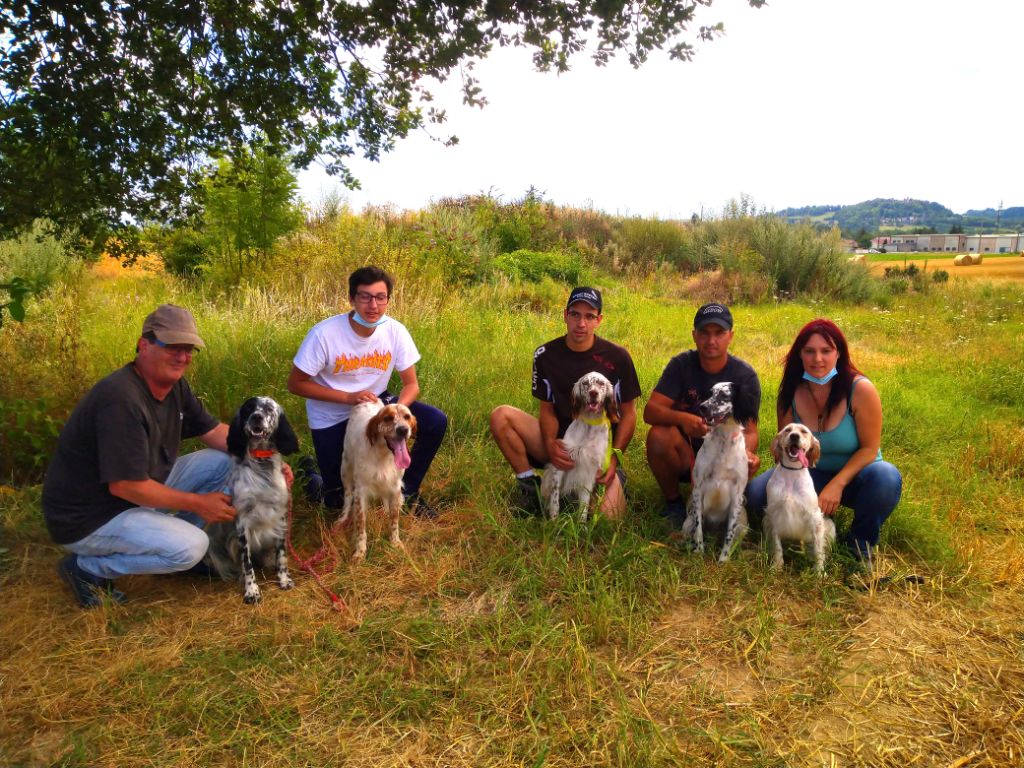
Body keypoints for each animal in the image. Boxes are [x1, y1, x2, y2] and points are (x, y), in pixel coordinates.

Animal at [204, 397, 299, 606]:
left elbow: (282, 556)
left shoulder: (279, 518)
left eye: (269, 408)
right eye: (249, 408)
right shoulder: (242, 524)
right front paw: (252, 591)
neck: (262, 465)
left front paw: (284, 580)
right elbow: (247, 565)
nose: (257, 417)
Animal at [337, 399, 413, 561]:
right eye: (387, 418)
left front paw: (395, 542)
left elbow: (394, 519)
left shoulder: (394, 487)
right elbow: (360, 526)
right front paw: (360, 552)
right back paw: (342, 518)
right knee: (347, 496)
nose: (403, 430)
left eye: (407, 417)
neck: (383, 454)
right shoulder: (360, 493)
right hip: (345, 468)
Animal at [684, 380, 757, 565]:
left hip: (742, 523)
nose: (702, 407)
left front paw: (723, 559)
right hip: (687, 522)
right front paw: (699, 551)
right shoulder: (698, 489)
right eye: (710, 393)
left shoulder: (737, 495)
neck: (724, 439)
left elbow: (729, 535)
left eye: (724, 395)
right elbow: (698, 529)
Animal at [765, 421, 835, 577]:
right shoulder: (774, 515)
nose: (794, 436)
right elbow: (777, 546)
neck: (791, 474)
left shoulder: (814, 516)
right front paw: (777, 566)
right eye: (787, 430)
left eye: (804, 431)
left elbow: (818, 549)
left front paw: (819, 572)